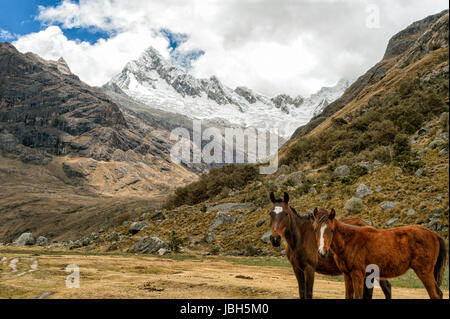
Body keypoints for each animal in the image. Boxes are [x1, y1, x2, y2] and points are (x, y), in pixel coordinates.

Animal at [312, 208, 446, 300]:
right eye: (315, 229)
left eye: (331, 230)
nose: (322, 252)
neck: (350, 241)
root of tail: (435, 235)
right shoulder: (347, 275)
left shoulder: (357, 275)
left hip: (424, 272)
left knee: (434, 294)